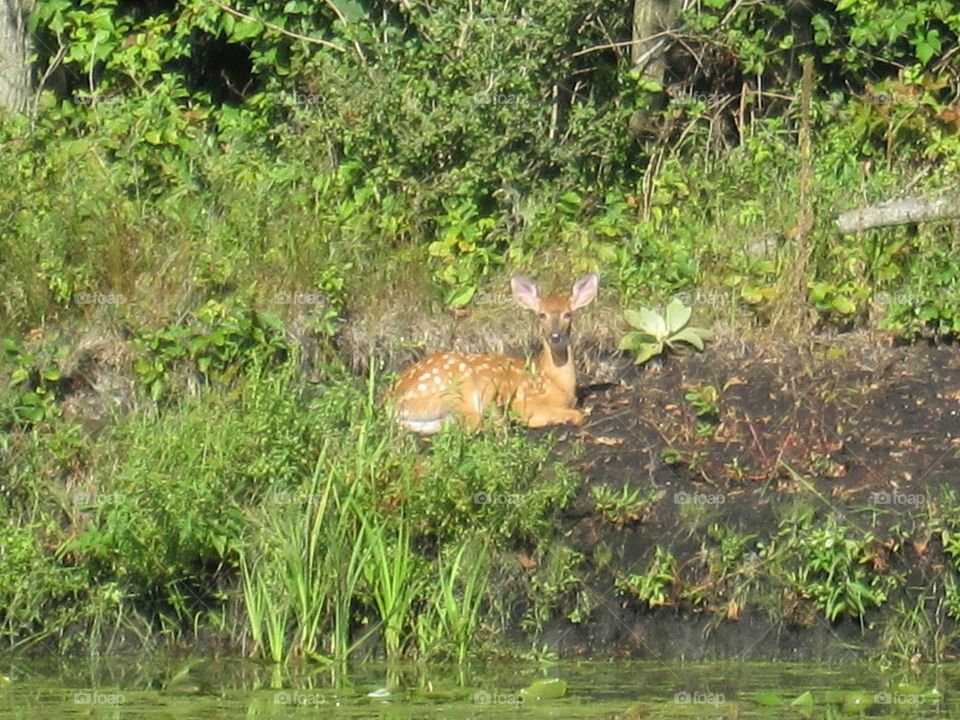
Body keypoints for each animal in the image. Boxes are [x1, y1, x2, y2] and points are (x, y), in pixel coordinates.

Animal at [390, 274, 599, 434]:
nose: (555, 336)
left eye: (568, 314)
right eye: (541, 315)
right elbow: (579, 415)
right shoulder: (525, 400)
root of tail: (390, 403)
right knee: (476, 423)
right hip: (461, 386)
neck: (557, 383)